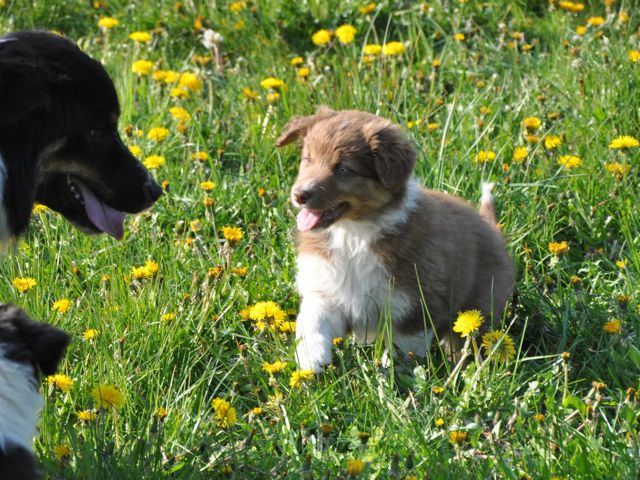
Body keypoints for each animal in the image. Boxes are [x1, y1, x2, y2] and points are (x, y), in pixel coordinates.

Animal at [276, 108, 516, 372]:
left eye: (344, 170)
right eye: (307, 159)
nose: (299, 195)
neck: (353, 235)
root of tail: (492, 229)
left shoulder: (413, 307)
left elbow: (403, 351)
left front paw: (393, 374)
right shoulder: (329, 290)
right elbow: (312, 318)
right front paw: (311, 358)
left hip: (480, 303)